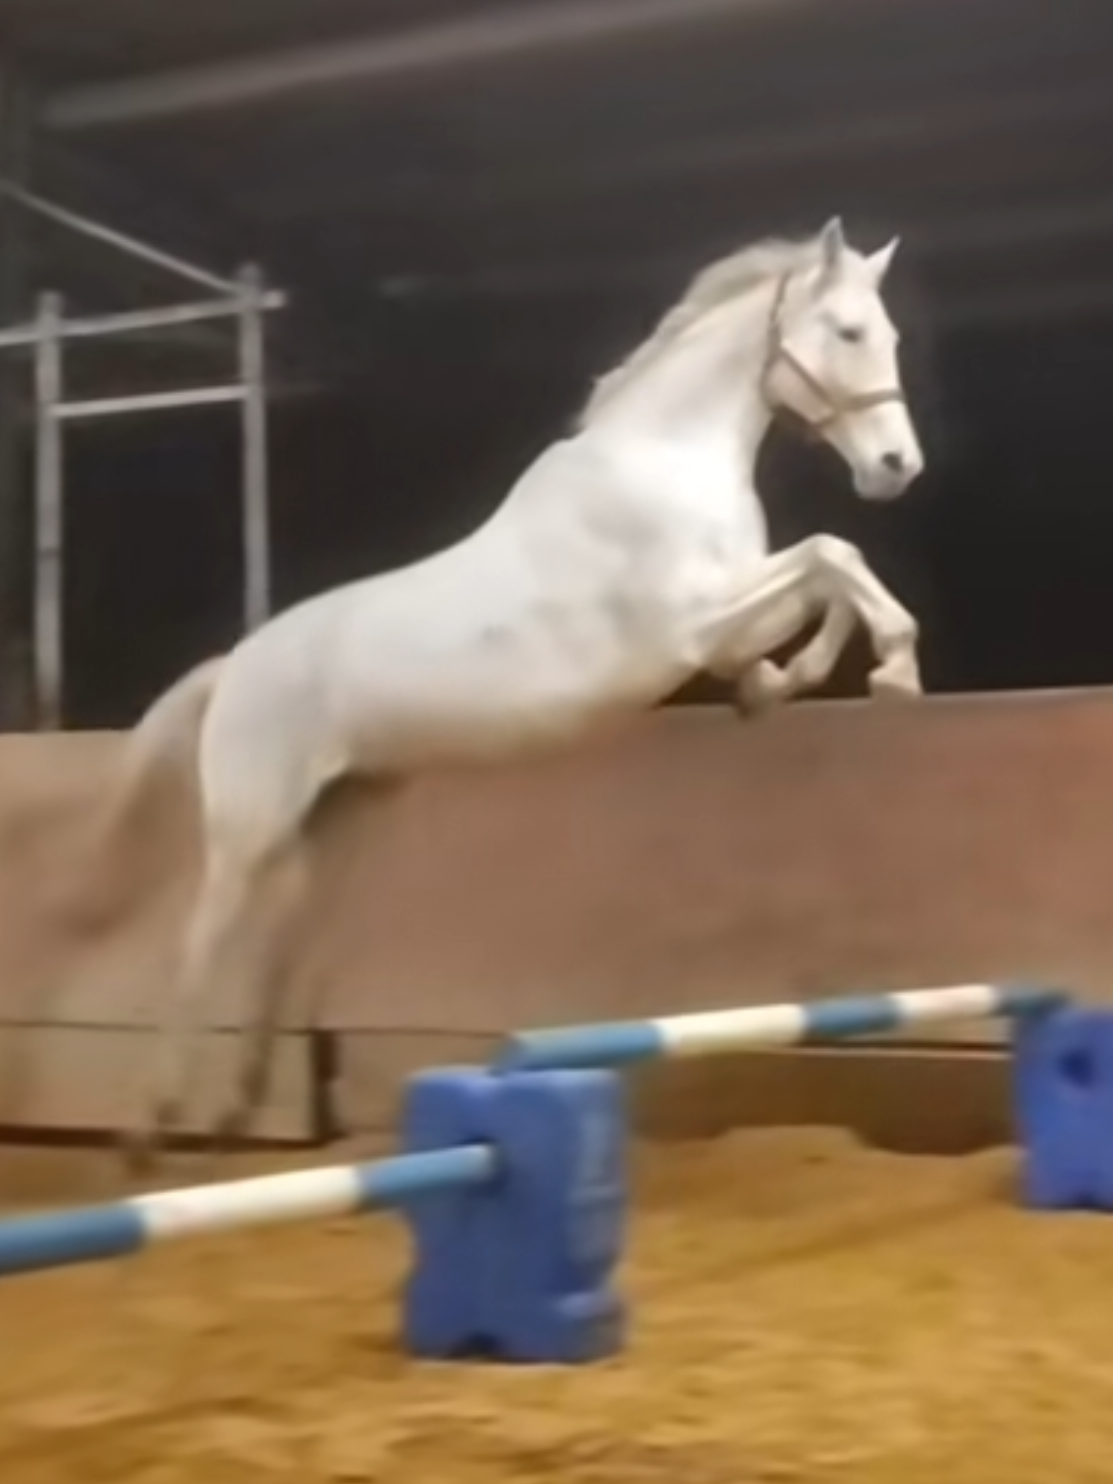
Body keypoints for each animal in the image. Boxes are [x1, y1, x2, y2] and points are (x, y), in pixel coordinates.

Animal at [93, 216, 925, 1171]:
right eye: (849, 332)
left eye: (887, 335)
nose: (897, 466)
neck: (665, 462)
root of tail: (234, 664)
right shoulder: (692, 625)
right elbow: (831, 555)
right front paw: (894, 668)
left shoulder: (727, 617)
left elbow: (828, 571)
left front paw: (788, 684)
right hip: (250, 830)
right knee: (203, 943)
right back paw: (151, 1129)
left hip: (339, 826)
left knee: (279, 944)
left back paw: (237, 1107)